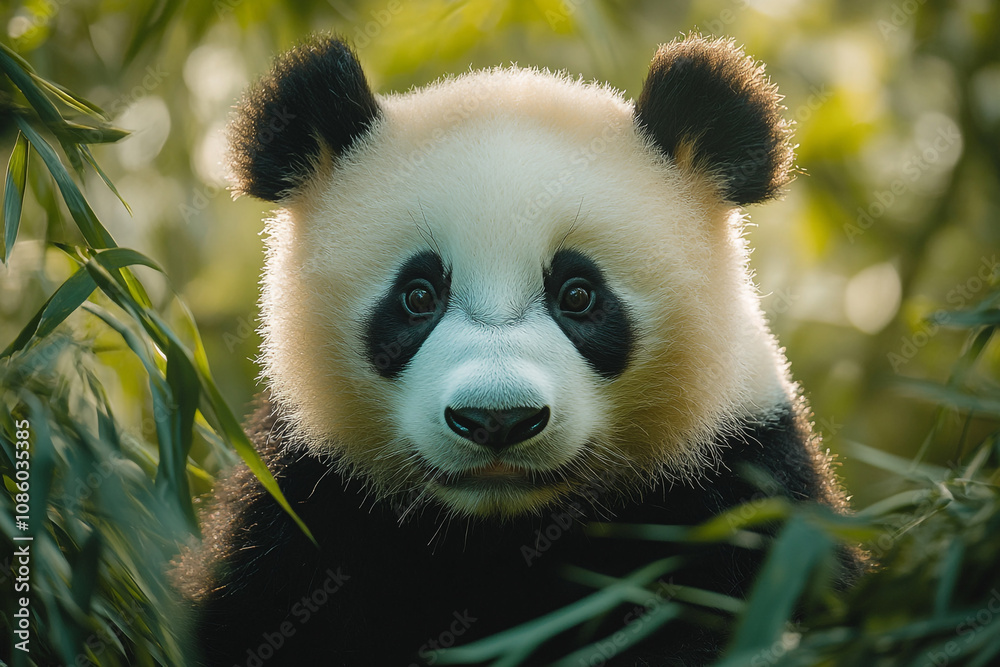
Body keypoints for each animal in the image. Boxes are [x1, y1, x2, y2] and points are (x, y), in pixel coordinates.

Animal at [177, 33, 856, 666]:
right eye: (417, 295)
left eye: (578, 295)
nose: (497, 419)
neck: (499, 532)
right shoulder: (308, 504)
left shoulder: (741, 483)